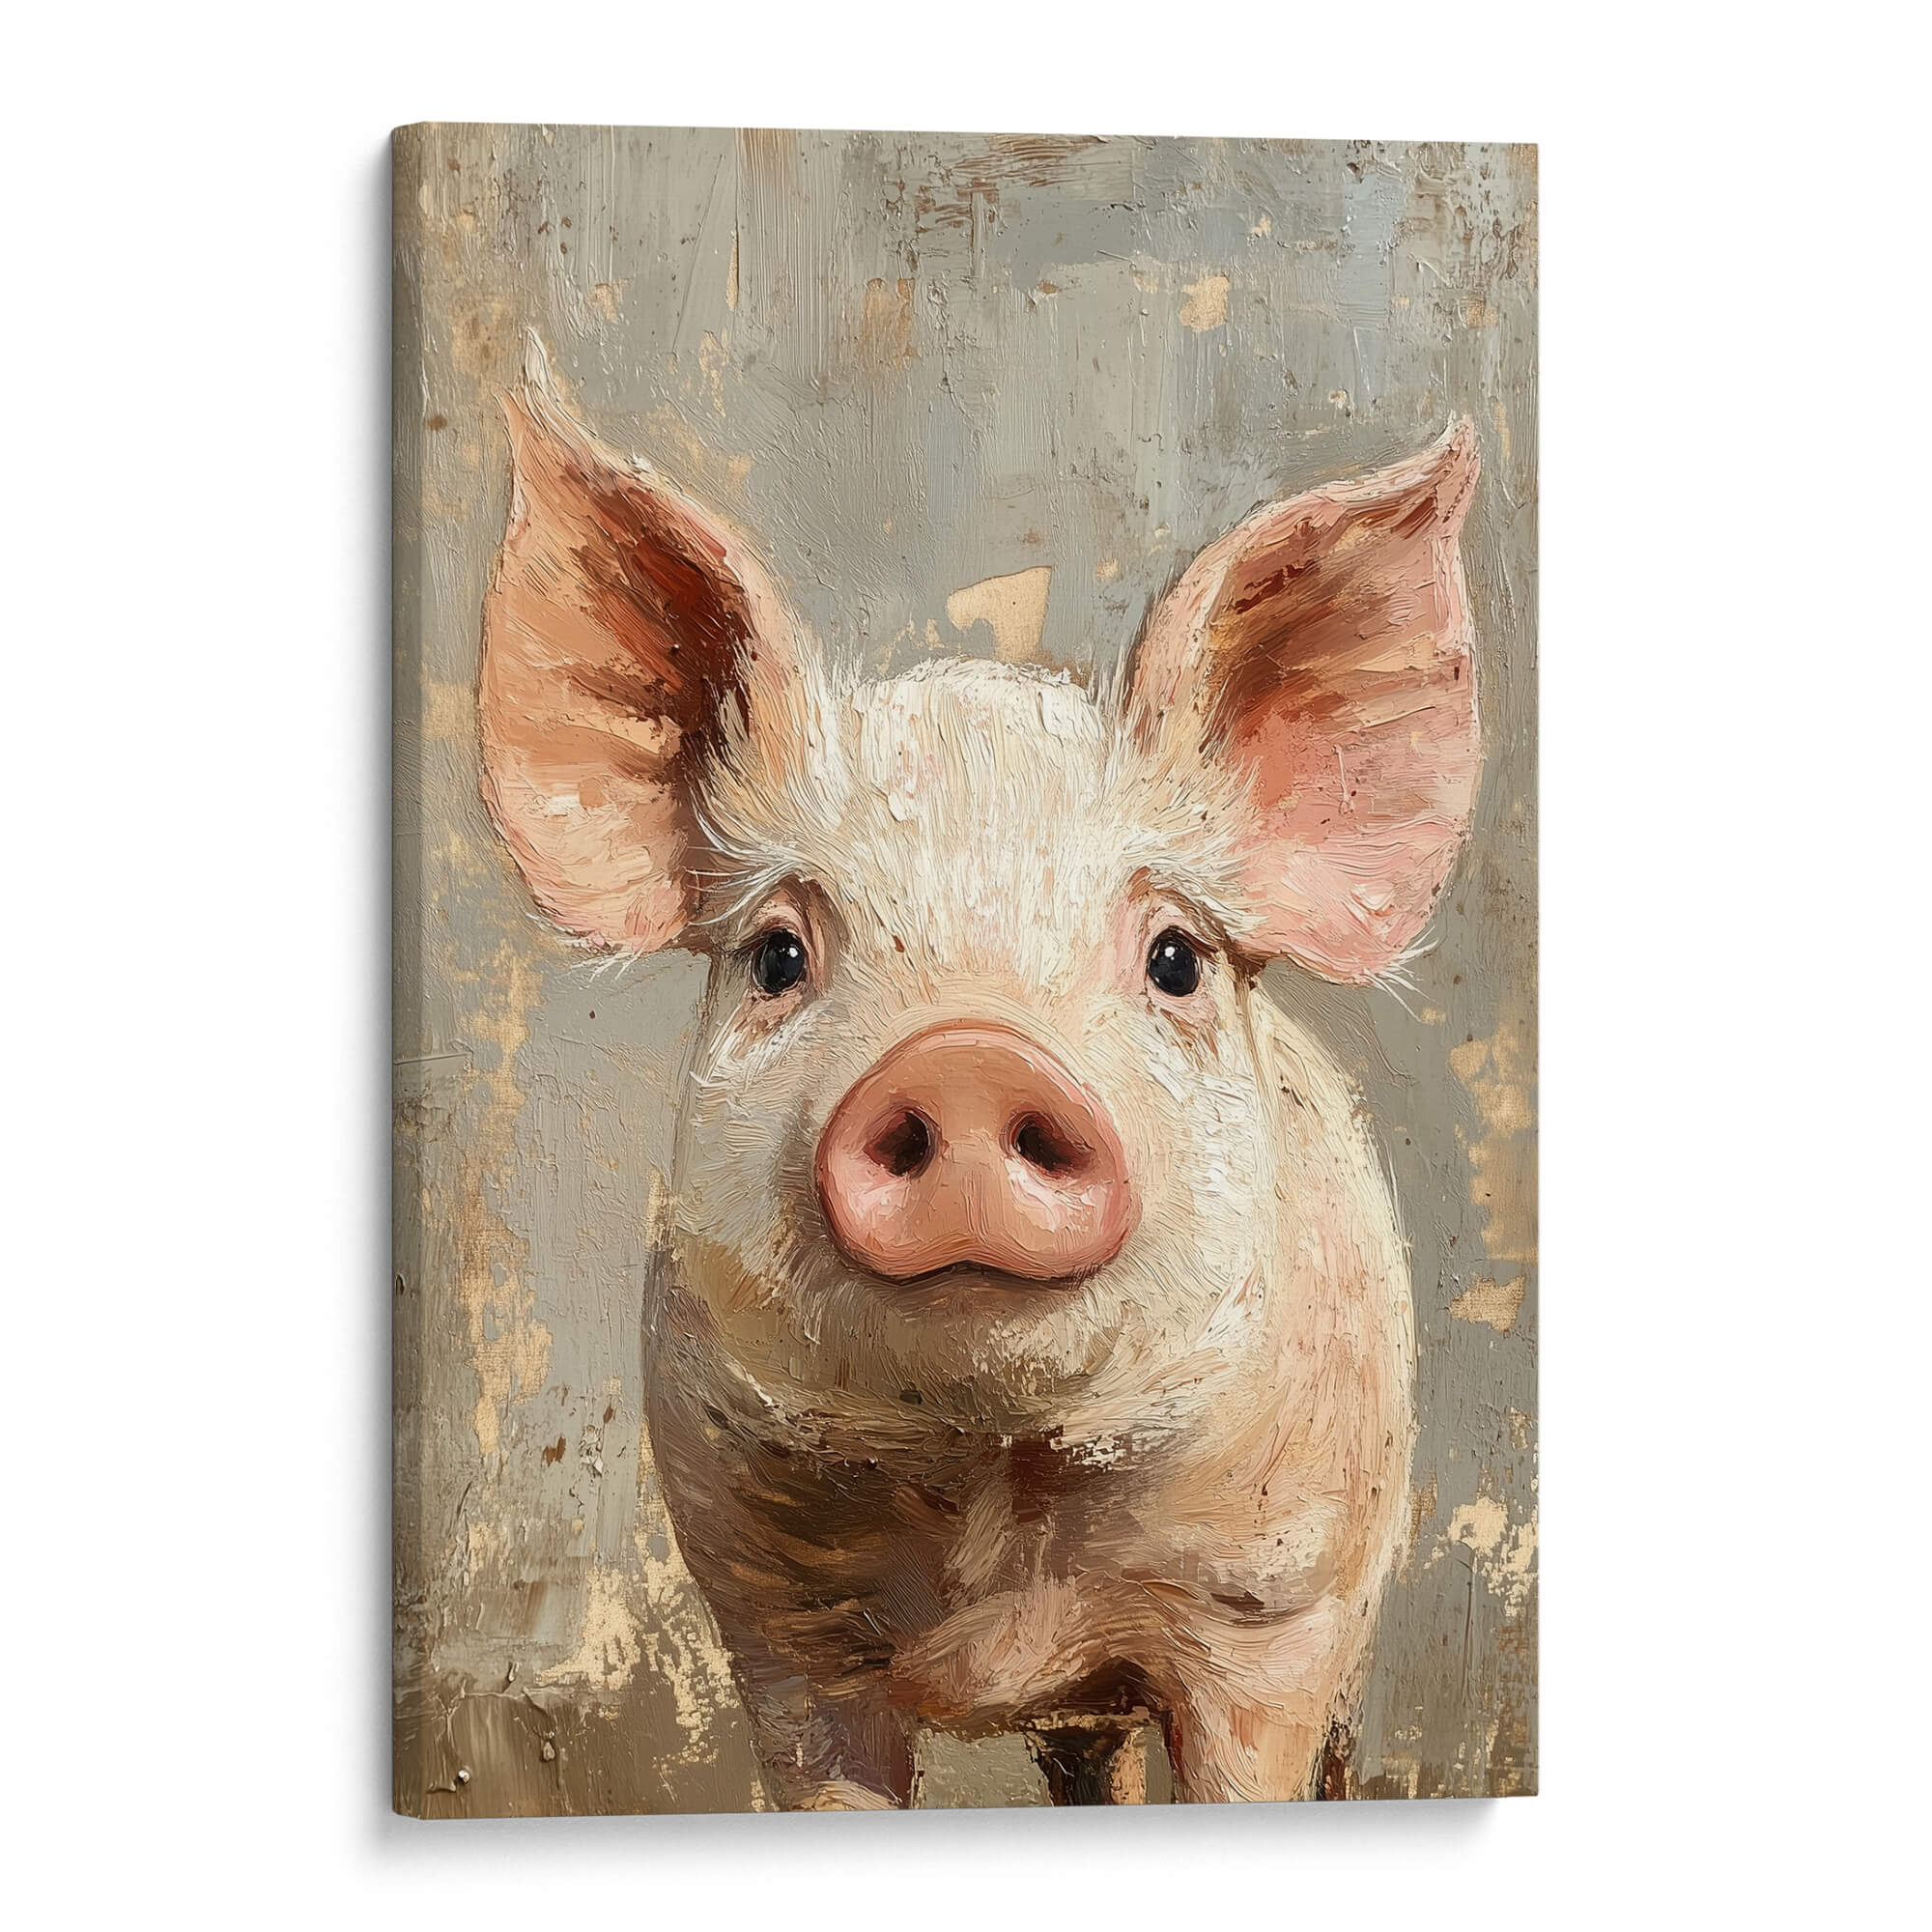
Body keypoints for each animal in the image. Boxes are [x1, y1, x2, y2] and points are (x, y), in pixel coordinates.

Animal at [478, 352, 1481, 1808]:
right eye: (777, 953)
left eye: (1174, 957)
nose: (966, 1057)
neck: (993, 1482)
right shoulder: (775, 1633)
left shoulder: (1271, 1614)